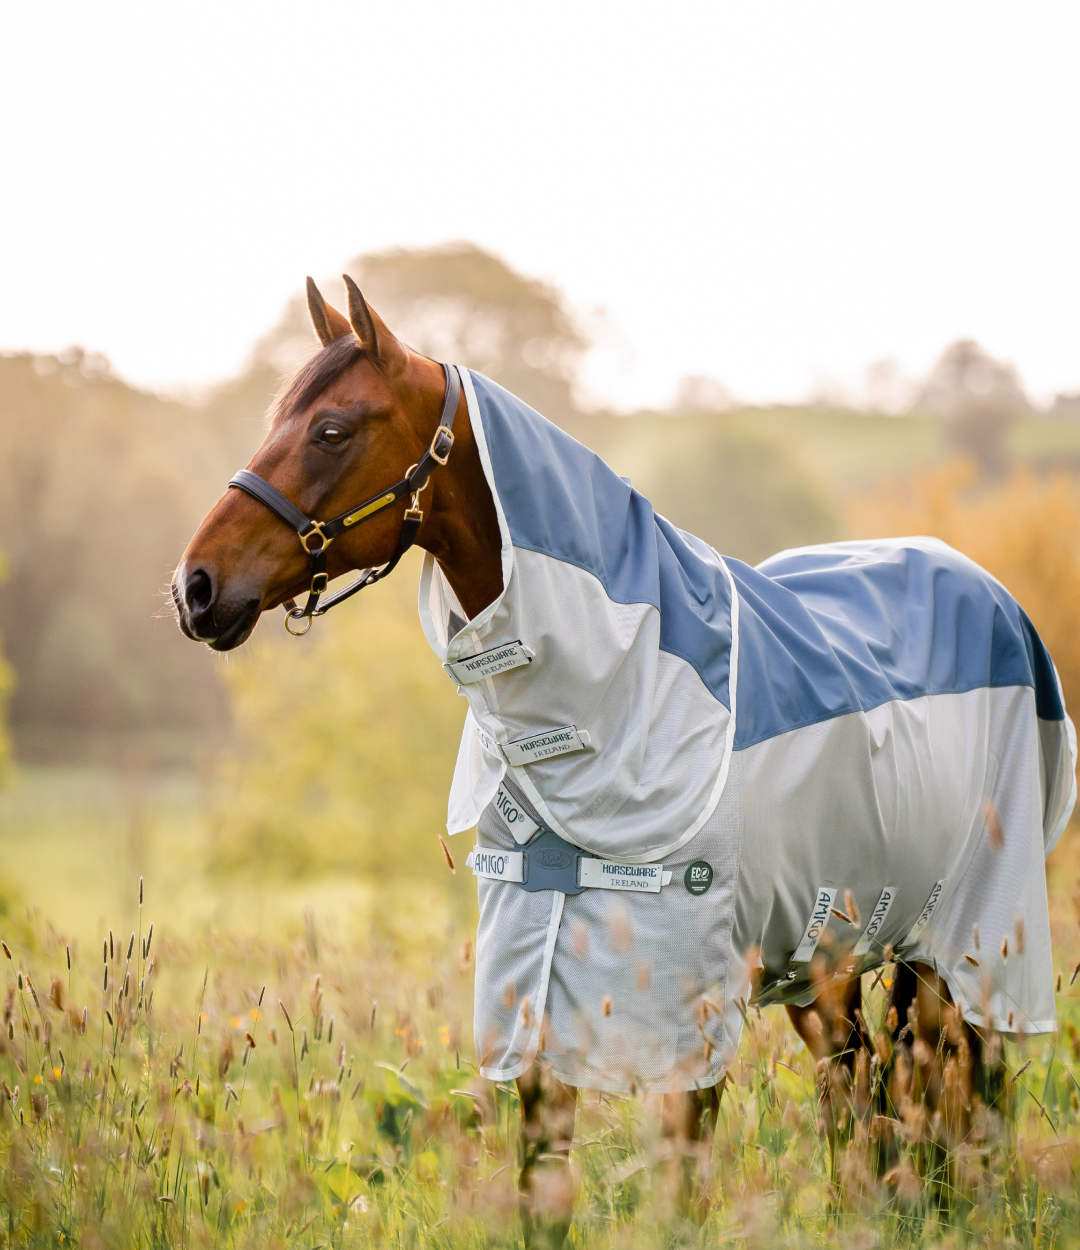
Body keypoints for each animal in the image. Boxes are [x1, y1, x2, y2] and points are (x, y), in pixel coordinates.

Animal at [172, 276, 1075, 1240]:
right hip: (827, 959)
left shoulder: (689, 1006)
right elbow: (545, 1186)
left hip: (966, 950)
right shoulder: (534, 995)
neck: (617, 698)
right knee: (864, 1092)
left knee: (956, 1090)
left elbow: (682, 1183)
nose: (196, 587)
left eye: (333, 429)